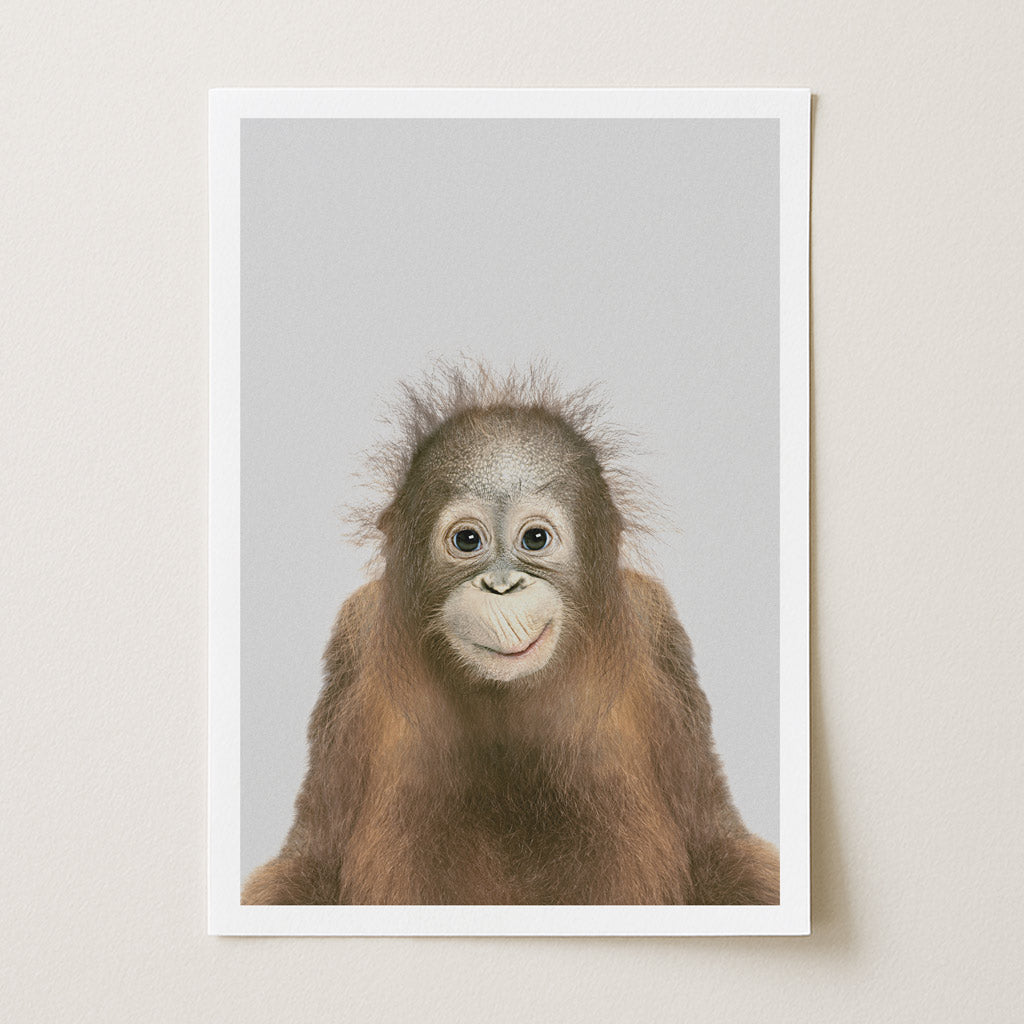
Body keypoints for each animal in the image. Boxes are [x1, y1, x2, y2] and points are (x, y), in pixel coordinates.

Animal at [242, 365, 779, 906]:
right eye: (467, 540)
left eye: (535, 539)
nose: (501, 586)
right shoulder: (356, 634)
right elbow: (313, 861)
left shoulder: (657, 625)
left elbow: (714, 847)